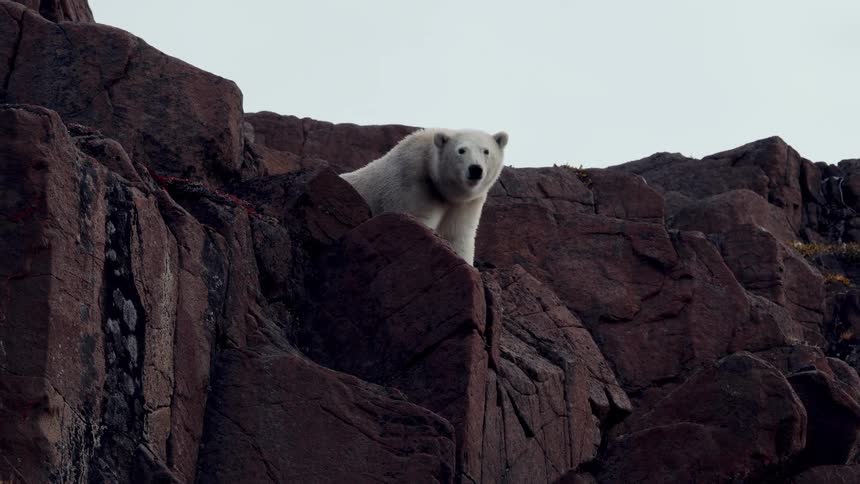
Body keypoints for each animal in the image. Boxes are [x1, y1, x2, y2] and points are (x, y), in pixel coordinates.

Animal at [340, 128, 508, 266]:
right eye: (461, 150)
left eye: (486, 151)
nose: (475, 169)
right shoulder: (413, 184)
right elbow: (418, 221)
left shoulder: (466, 204)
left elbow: (457, 235)